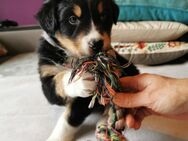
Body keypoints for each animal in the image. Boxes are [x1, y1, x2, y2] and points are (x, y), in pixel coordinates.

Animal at [36, 0, 139, 140]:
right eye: (73, 19)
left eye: (103, 16)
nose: (97, 44)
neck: (74, 57)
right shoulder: (47, 77)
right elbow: (60, 80)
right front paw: (80, 80)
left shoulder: (86, 99)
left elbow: (70, 116)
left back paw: (109, 123)